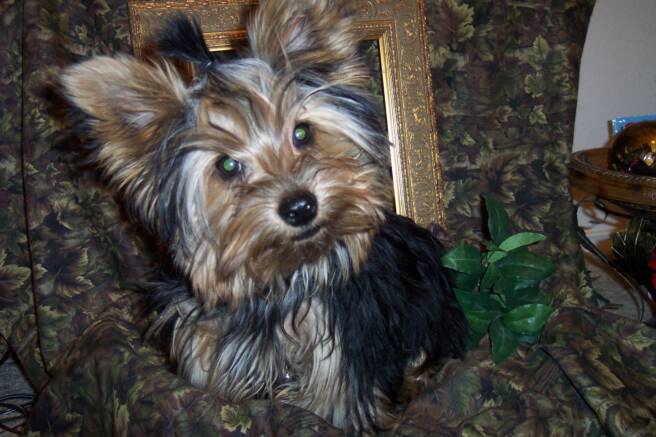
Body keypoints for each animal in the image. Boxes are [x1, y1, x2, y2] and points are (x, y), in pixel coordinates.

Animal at [59, 0, 466, 432]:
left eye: (302, 133)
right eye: (227, 166)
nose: (301, 206)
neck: (280, 283)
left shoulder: (344, 361)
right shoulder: (206, 347)